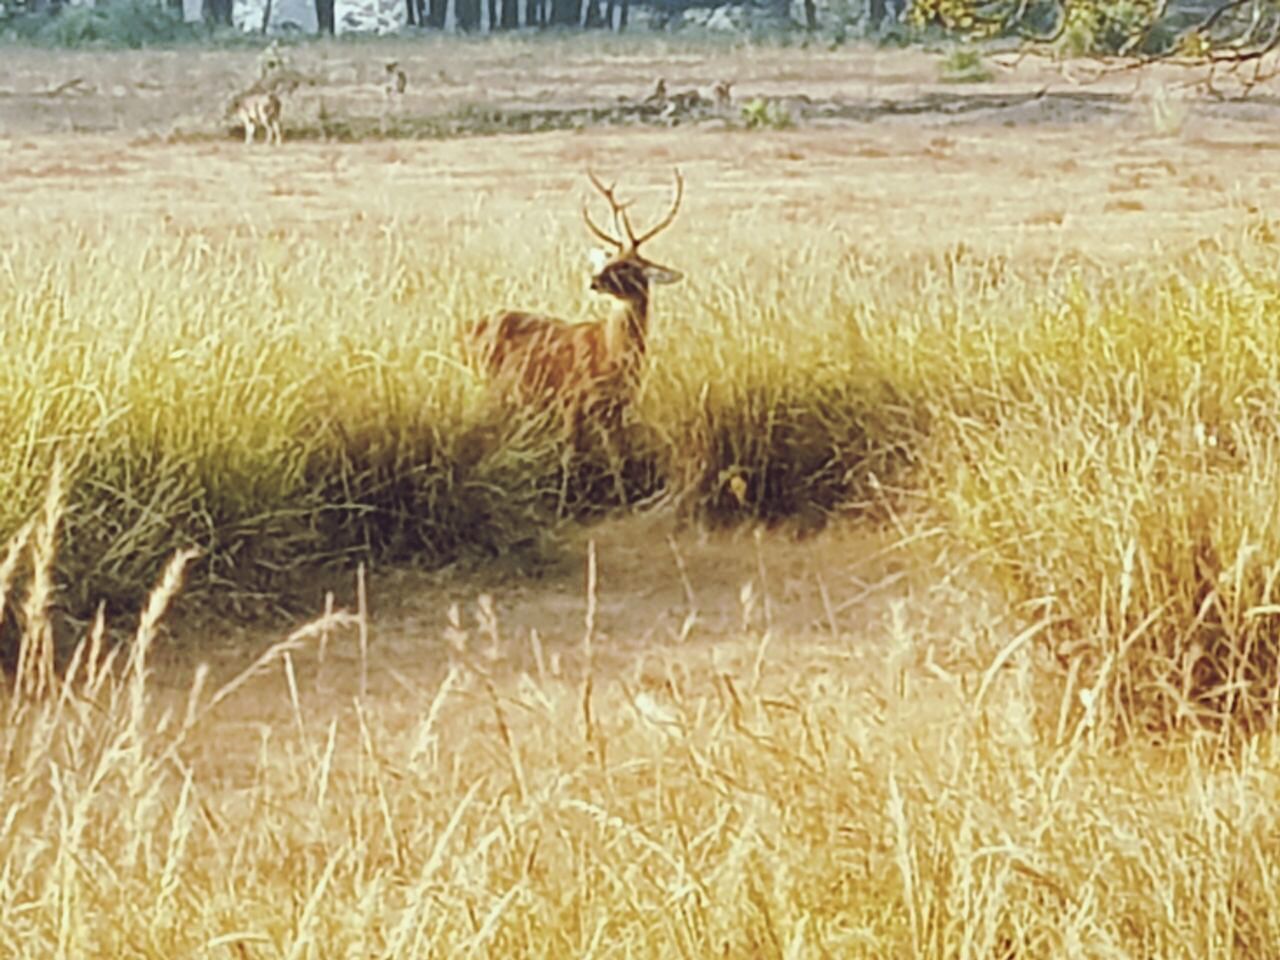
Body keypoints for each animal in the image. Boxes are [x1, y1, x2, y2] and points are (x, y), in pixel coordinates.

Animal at [465, 170, 686, 450]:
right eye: (609, 261)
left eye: (627, 266)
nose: (594, 280)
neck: (612, 355)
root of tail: (466, 327)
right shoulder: (571, 400)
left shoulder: (620, 409)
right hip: (488, 388)